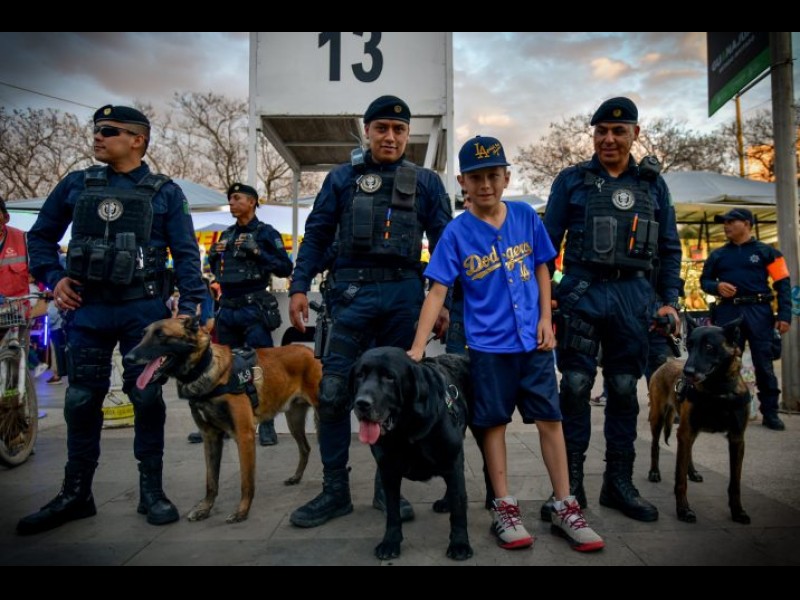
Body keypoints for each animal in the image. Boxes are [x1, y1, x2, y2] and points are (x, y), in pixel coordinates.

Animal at [126, 317, 321, 523]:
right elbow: (211, 481)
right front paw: (205, 509)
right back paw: (296, 477)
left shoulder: (244, 436)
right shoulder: (210, 437)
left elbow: (246, 481)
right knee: (305, 448)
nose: (128, 359)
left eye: (161, 335)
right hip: (294, 420)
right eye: (143, 334)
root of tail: (309, 351)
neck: (205, 369)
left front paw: (242, 511)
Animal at [351, 347, 473, 561]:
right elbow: (393, 511)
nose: (362, 404)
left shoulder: (452, 460)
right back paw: (445, 502)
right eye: (360, 375)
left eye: (390, 377)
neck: (405, 429)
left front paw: (459, 543)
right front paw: (390, 542)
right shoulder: (388, 471)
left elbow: (459, 507)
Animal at [647, 317, 751, 524]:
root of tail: (667, 361)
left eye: (709, 347)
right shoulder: (685, 432)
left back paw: (693, 471)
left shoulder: (737, 439)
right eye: (689, 345)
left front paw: (738, 511)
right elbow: (680, 480)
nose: (687, 372)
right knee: (655, 445)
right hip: (658, 418)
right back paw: (654, 472)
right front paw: (683, 510)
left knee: (688, 452)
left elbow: (735, 483)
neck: (717, 391)